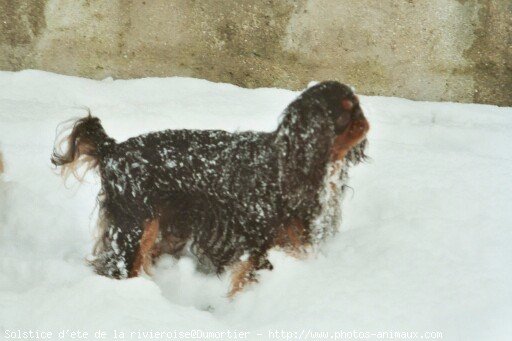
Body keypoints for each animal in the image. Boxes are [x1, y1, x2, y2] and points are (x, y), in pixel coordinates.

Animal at [53, 80, 368, 294]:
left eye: (357, 106)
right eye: (345, 112)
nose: (365, 122)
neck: (293, 161)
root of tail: (113, 149)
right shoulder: (260, 242)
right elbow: (245, 279)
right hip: (136, 226)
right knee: (118, 266)